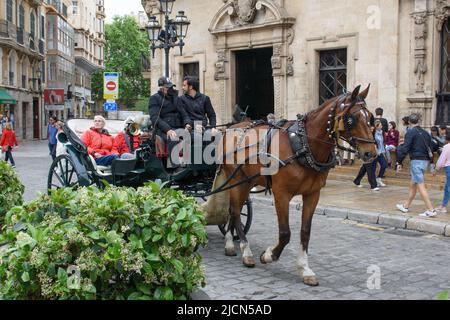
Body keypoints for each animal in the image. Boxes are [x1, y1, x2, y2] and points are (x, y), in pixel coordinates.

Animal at [220, 84, 378, 284]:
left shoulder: (313, 194)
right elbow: (285, 233)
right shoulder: (281, 194)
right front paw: (269, 255)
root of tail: (232, 127)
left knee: (235, 210)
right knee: (234, 211)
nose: (370, 153)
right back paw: (245, 251)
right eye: (351, 120)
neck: (303, 146)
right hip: (235, 181)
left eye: (369, 117)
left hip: (246, 181)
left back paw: (230, 243)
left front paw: (304, 268)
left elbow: (305, 231)